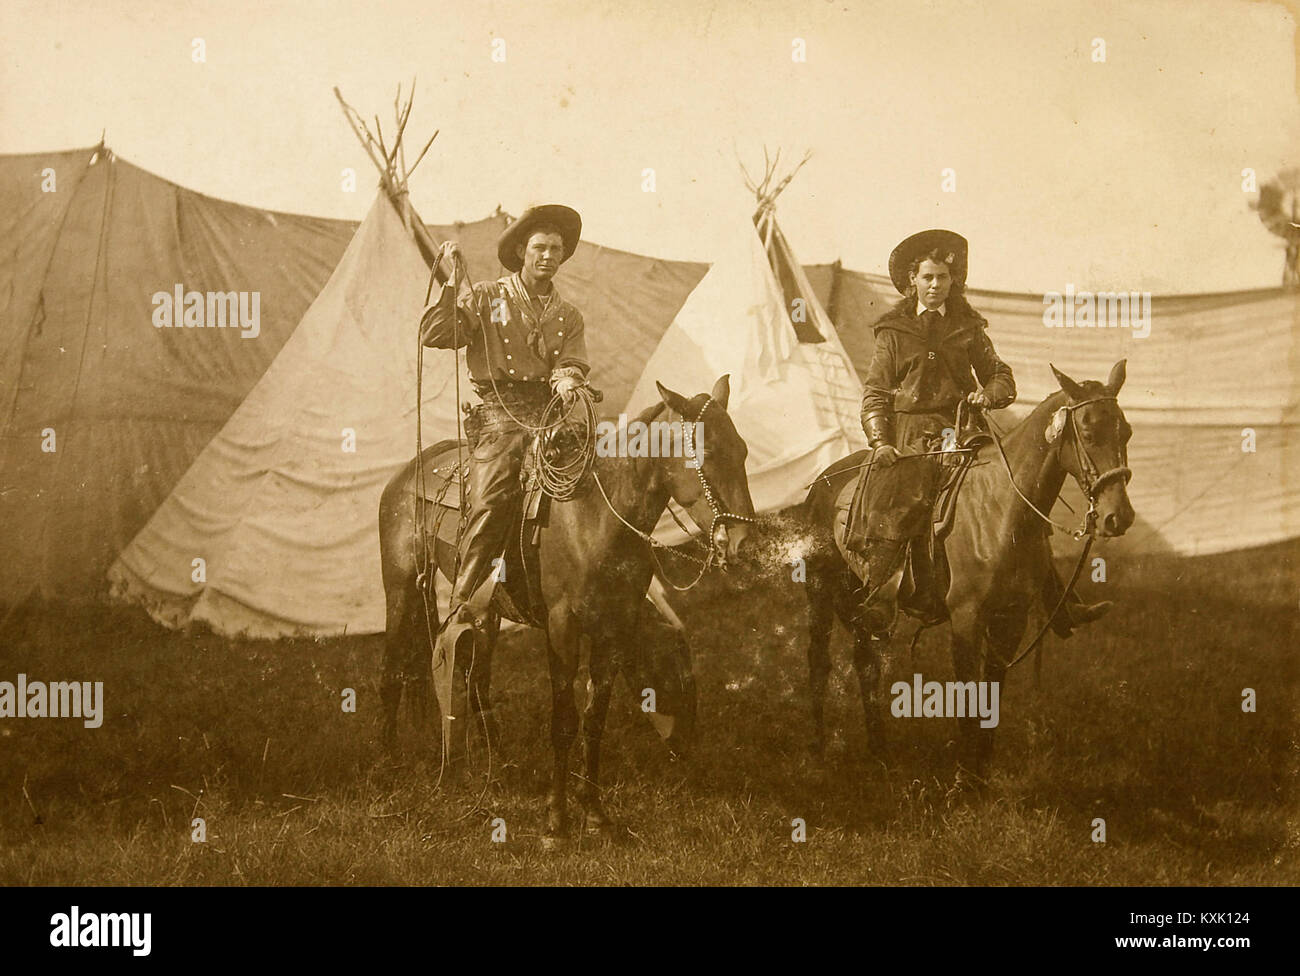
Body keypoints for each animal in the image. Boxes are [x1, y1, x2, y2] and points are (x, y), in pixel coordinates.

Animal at [377, 376, 759, 847]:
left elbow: (594, 721)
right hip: (401, 590)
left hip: (485, 612)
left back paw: (497, 763)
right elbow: (563, 721)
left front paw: (596, 815)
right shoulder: (562, 628)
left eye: (742, 451)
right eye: (706, 453)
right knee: (392, 672)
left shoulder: (615, 628)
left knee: (476, 678)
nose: (743, 543)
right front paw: (555, 822)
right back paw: (388, 764)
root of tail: (411, 469)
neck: (595, 518)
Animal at [795, 363, 1133, 784]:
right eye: (1088, 432)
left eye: (1126, 432)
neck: (1003, 508)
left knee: (865, 662)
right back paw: (818, 749)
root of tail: (824, 480)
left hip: (861, 601)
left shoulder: (1011, 618)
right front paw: (965, 779)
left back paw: (879, 751)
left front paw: (981, 774)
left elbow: (992, 696)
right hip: (820, 593)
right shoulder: (967, 619)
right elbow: (969, 700)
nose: (1118, 516)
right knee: (819, 662)